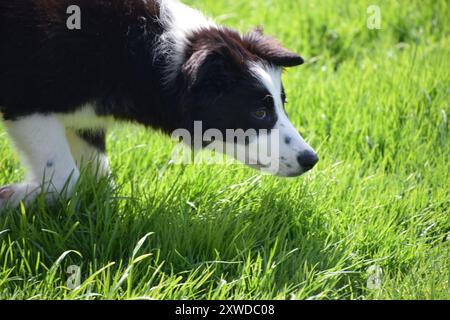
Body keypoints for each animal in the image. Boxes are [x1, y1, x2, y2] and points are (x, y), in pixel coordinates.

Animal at [0, 0, 318, 210]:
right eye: (259, 112)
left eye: (282, 105)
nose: (311, 159)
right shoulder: (27, 101)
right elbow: (64, 177)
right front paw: (10, 197)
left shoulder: (84, 118)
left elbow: (98, 178)